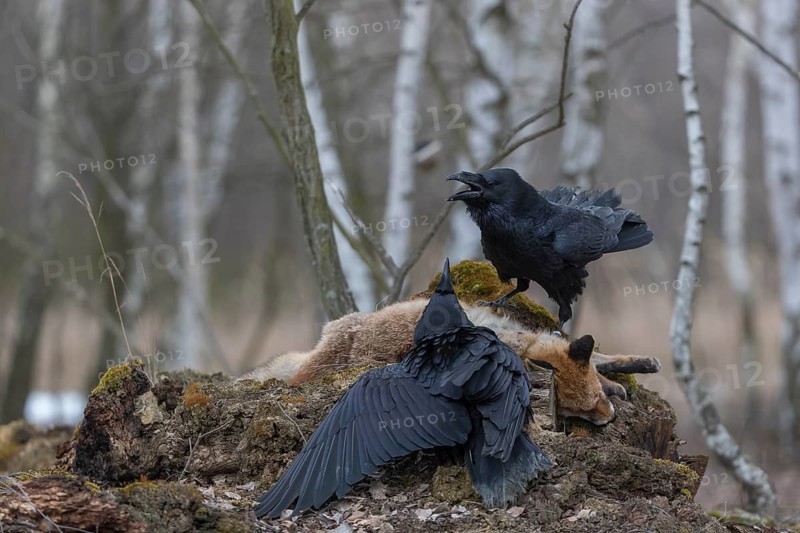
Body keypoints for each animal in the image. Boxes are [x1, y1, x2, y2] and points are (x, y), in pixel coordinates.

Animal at [240, 299, 661, 426]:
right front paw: (617, 385)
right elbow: (597, 362)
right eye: (581, 412)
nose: (609, 418)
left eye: (593, 404)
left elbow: (602, 358)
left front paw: (637, 364)